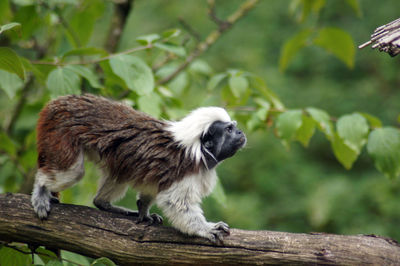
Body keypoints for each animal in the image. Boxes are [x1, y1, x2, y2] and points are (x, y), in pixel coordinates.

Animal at [32, 93, 247, 243]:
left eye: (234, 127)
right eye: (229, 130)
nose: (240, 132)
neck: (198, 150)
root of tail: (58, 103)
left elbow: (151, 188)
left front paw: (143, 211)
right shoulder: (183, 171)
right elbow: (175, 202)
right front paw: (205, 229)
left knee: (118, 173)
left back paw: (104, 203)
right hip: (62, 134)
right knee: (72, 172)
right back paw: (42, 190)